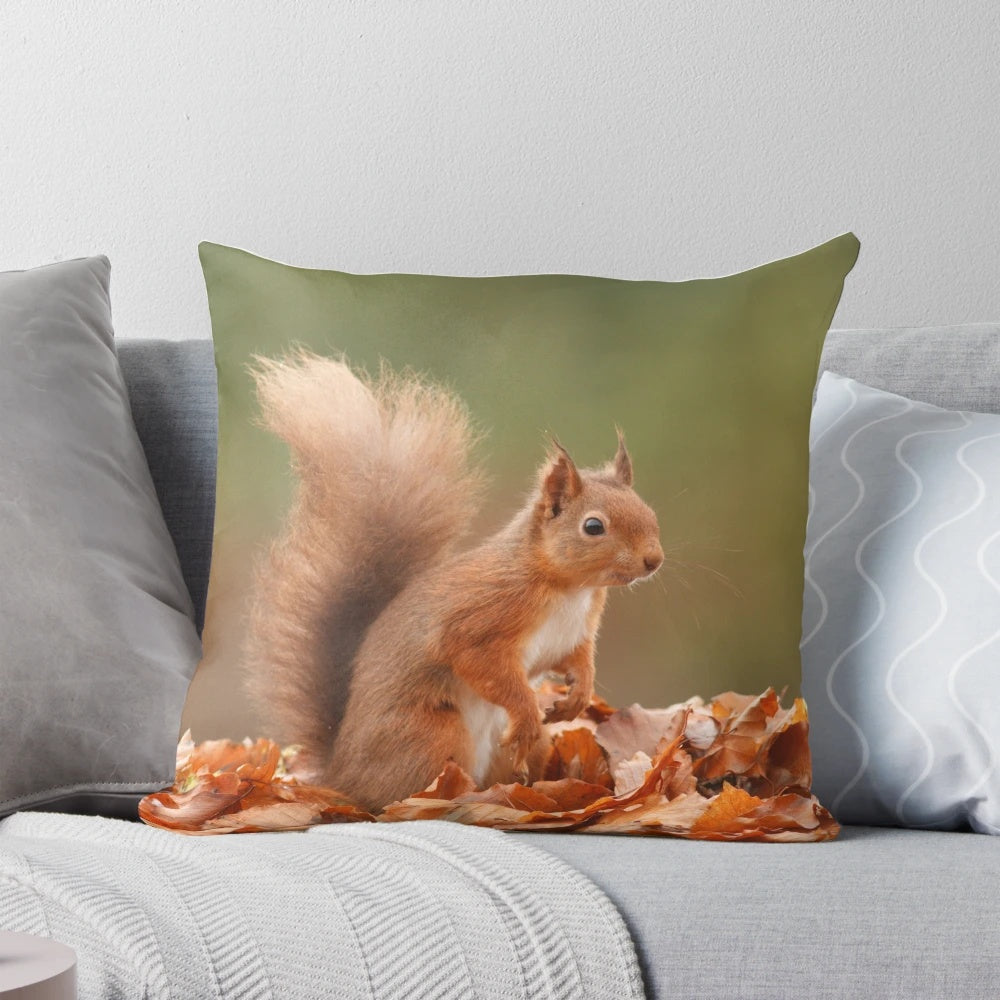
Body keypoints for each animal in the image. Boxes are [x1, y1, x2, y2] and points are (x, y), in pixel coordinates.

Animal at [244, 351, 663, 813]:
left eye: (649, 512)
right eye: (593, 527)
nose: (653, 560)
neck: (571, 590)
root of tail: (342, 774)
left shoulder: (574, 635)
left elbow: (578, 661)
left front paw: (578, 696)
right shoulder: (481, 620)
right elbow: (481, 663)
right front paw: (528, 710)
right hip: (432, 736)